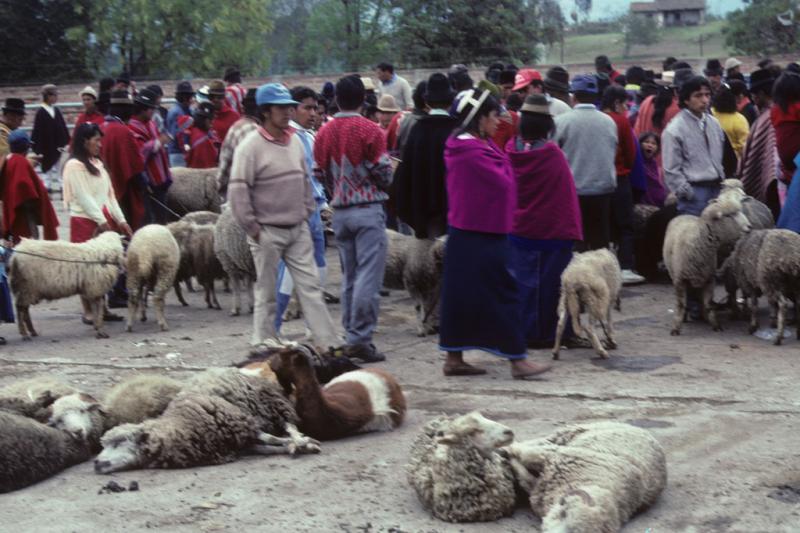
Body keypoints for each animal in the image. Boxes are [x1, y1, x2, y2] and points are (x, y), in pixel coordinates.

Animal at [506, 420, 668, 532]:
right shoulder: (555, 456)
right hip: (570, 433)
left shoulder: (542, 484)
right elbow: (526, 454)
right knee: (542, 441)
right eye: (564, 514)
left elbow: (524, 476)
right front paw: (508, 450)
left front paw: (511, 459)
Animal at [664, 193, 752, 334]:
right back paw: (686, 316)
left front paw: (715, 324)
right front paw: (676, 327)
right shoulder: (679, 280)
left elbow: (708, 303)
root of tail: (684, 215)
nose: (749, 227)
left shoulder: (710, 279)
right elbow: (681, 304)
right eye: (729, 215)